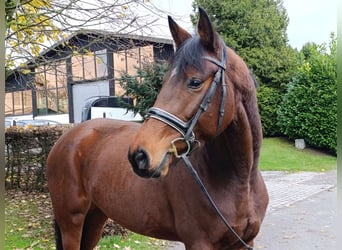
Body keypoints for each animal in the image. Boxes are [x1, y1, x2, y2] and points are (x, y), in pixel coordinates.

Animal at [46, 7, 268, 250]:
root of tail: (66, 138)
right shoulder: (198, 242)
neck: (241, 183)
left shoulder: (244, 242)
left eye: (195, 82)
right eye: (164, 80)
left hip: (95, 217)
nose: (138, 156)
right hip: (71, 221)